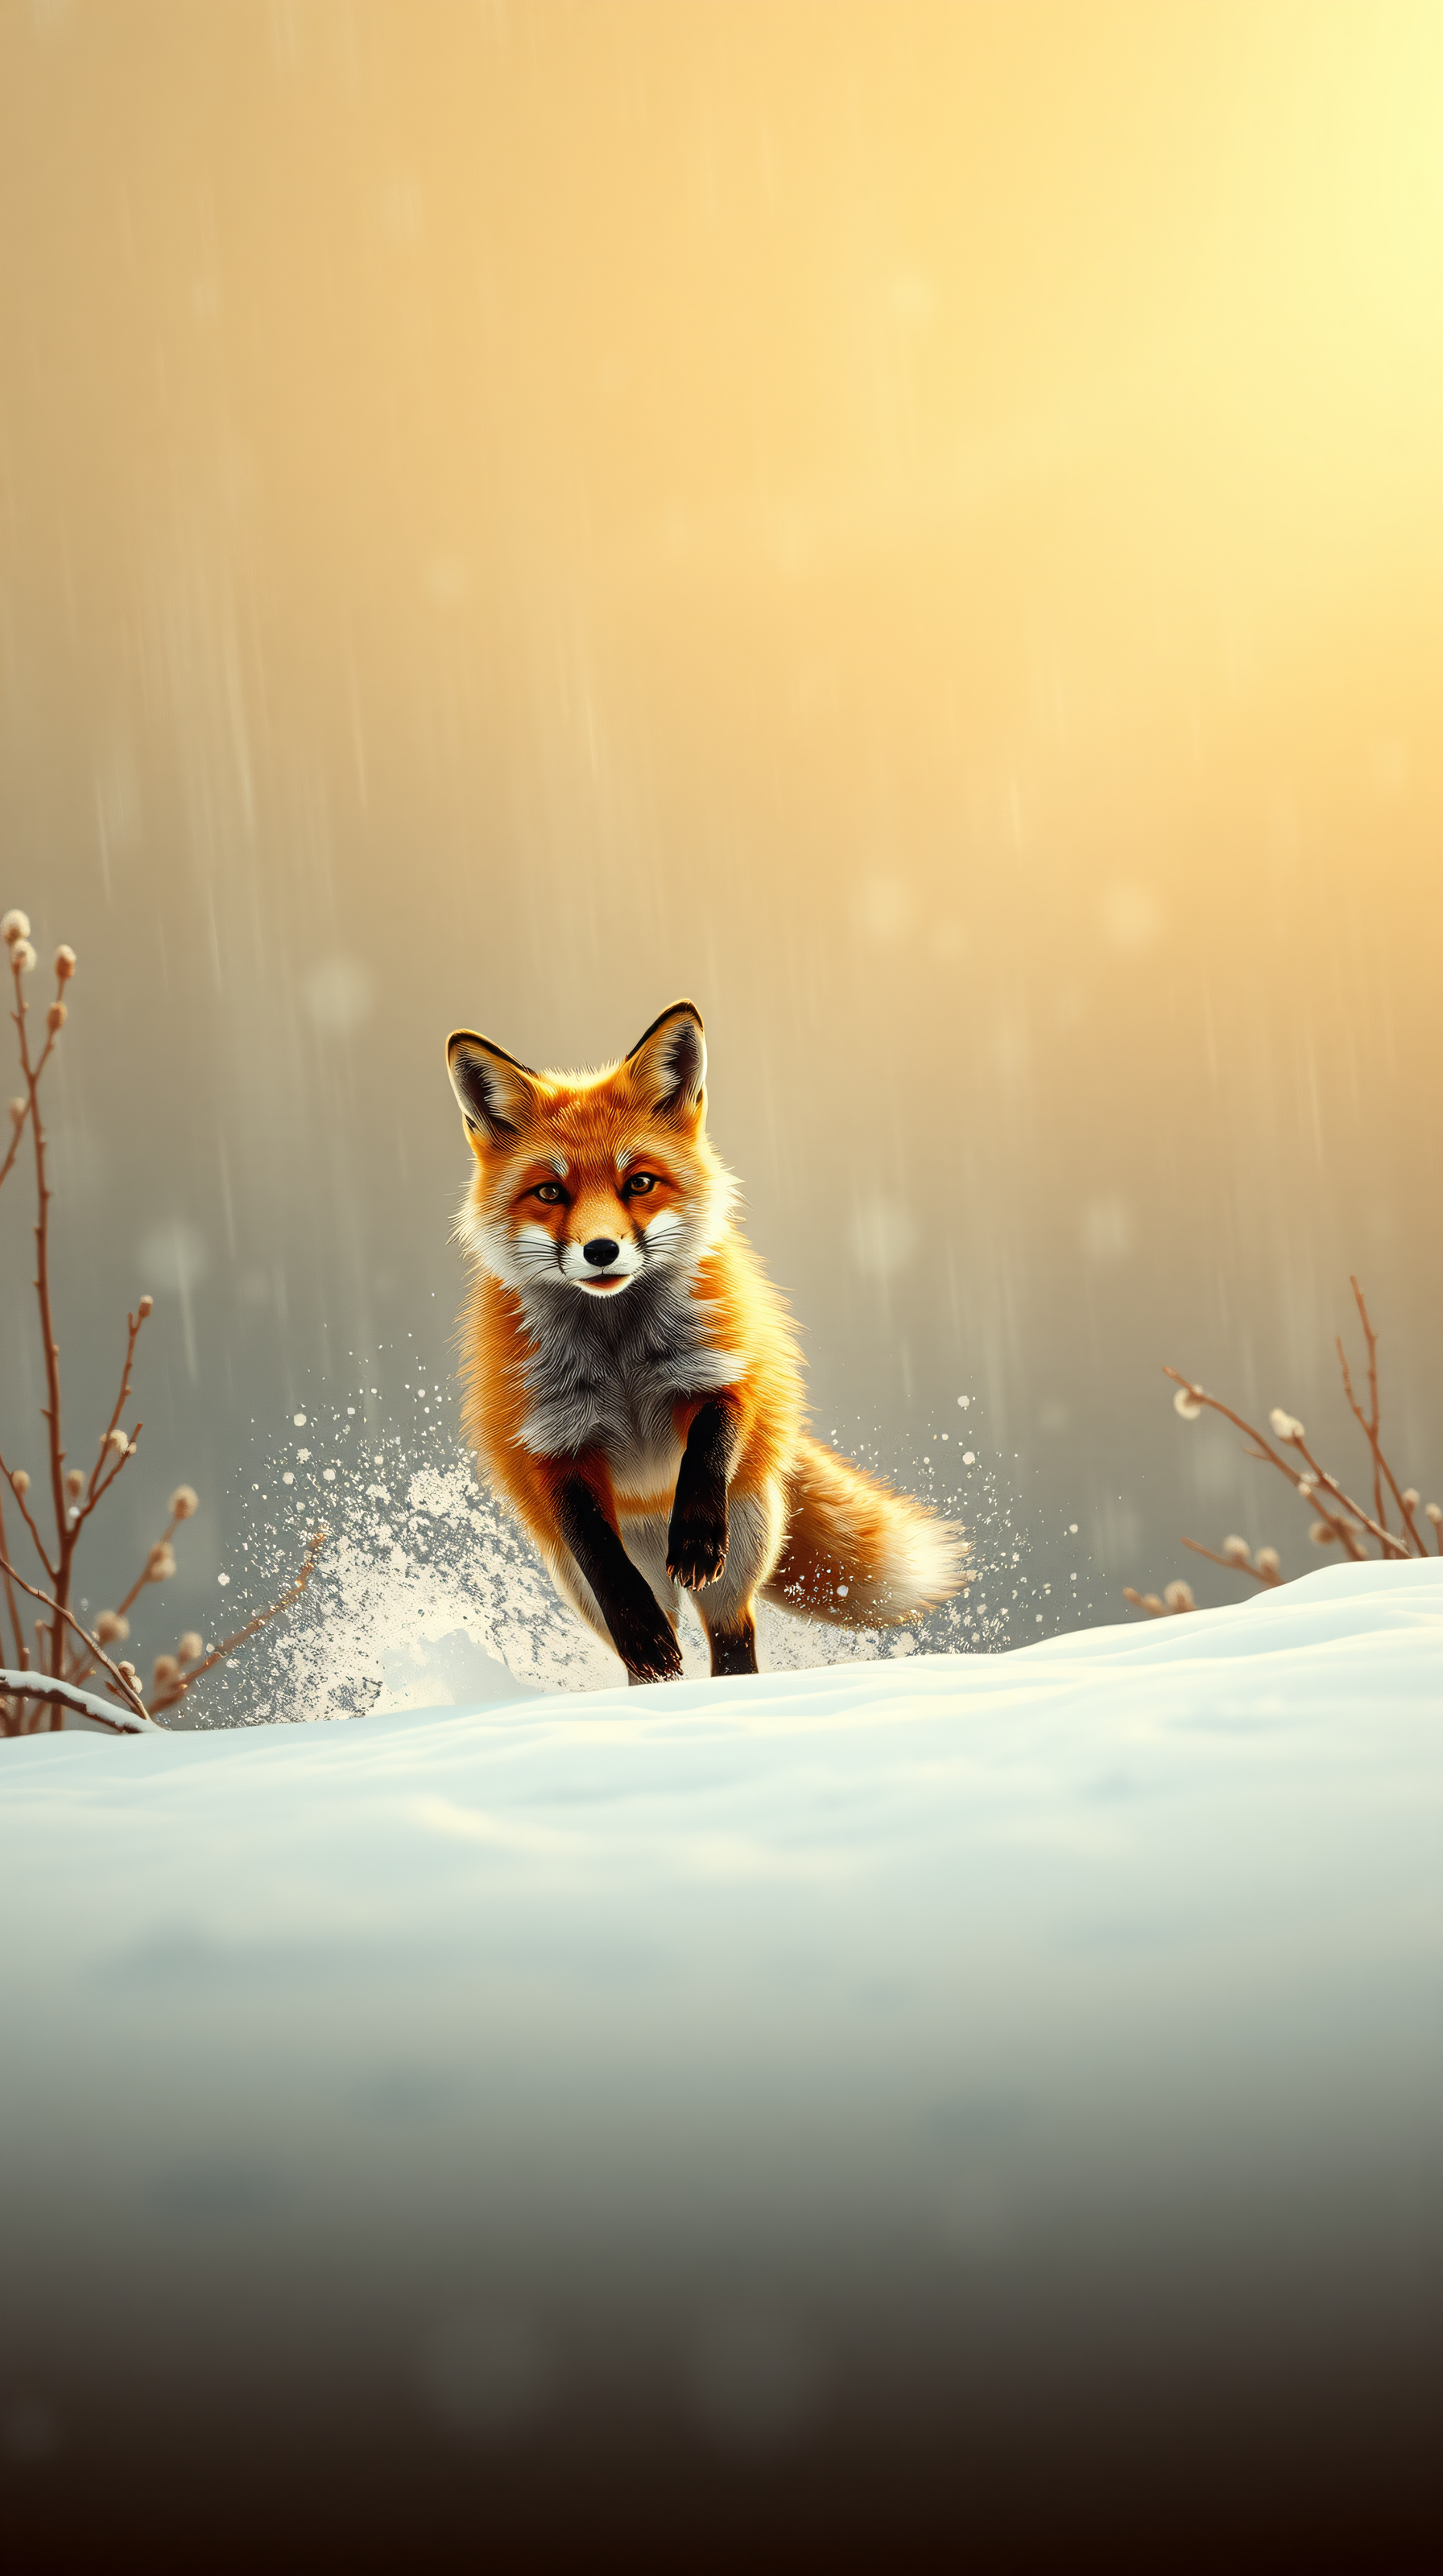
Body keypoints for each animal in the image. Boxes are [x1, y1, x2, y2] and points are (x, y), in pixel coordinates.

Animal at [446, 999, 968, 1684]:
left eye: (639, 1183)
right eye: (550, 1192)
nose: (601, 1250)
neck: (618, 1351)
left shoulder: (723, 1371)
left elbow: (709, 1447)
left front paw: (694, 1534)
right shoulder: (549, 1443)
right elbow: (599, 1552)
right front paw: (640, 1627)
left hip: (744, 1542)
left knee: (733, 1635)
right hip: (584, 1585)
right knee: (649, 1641)